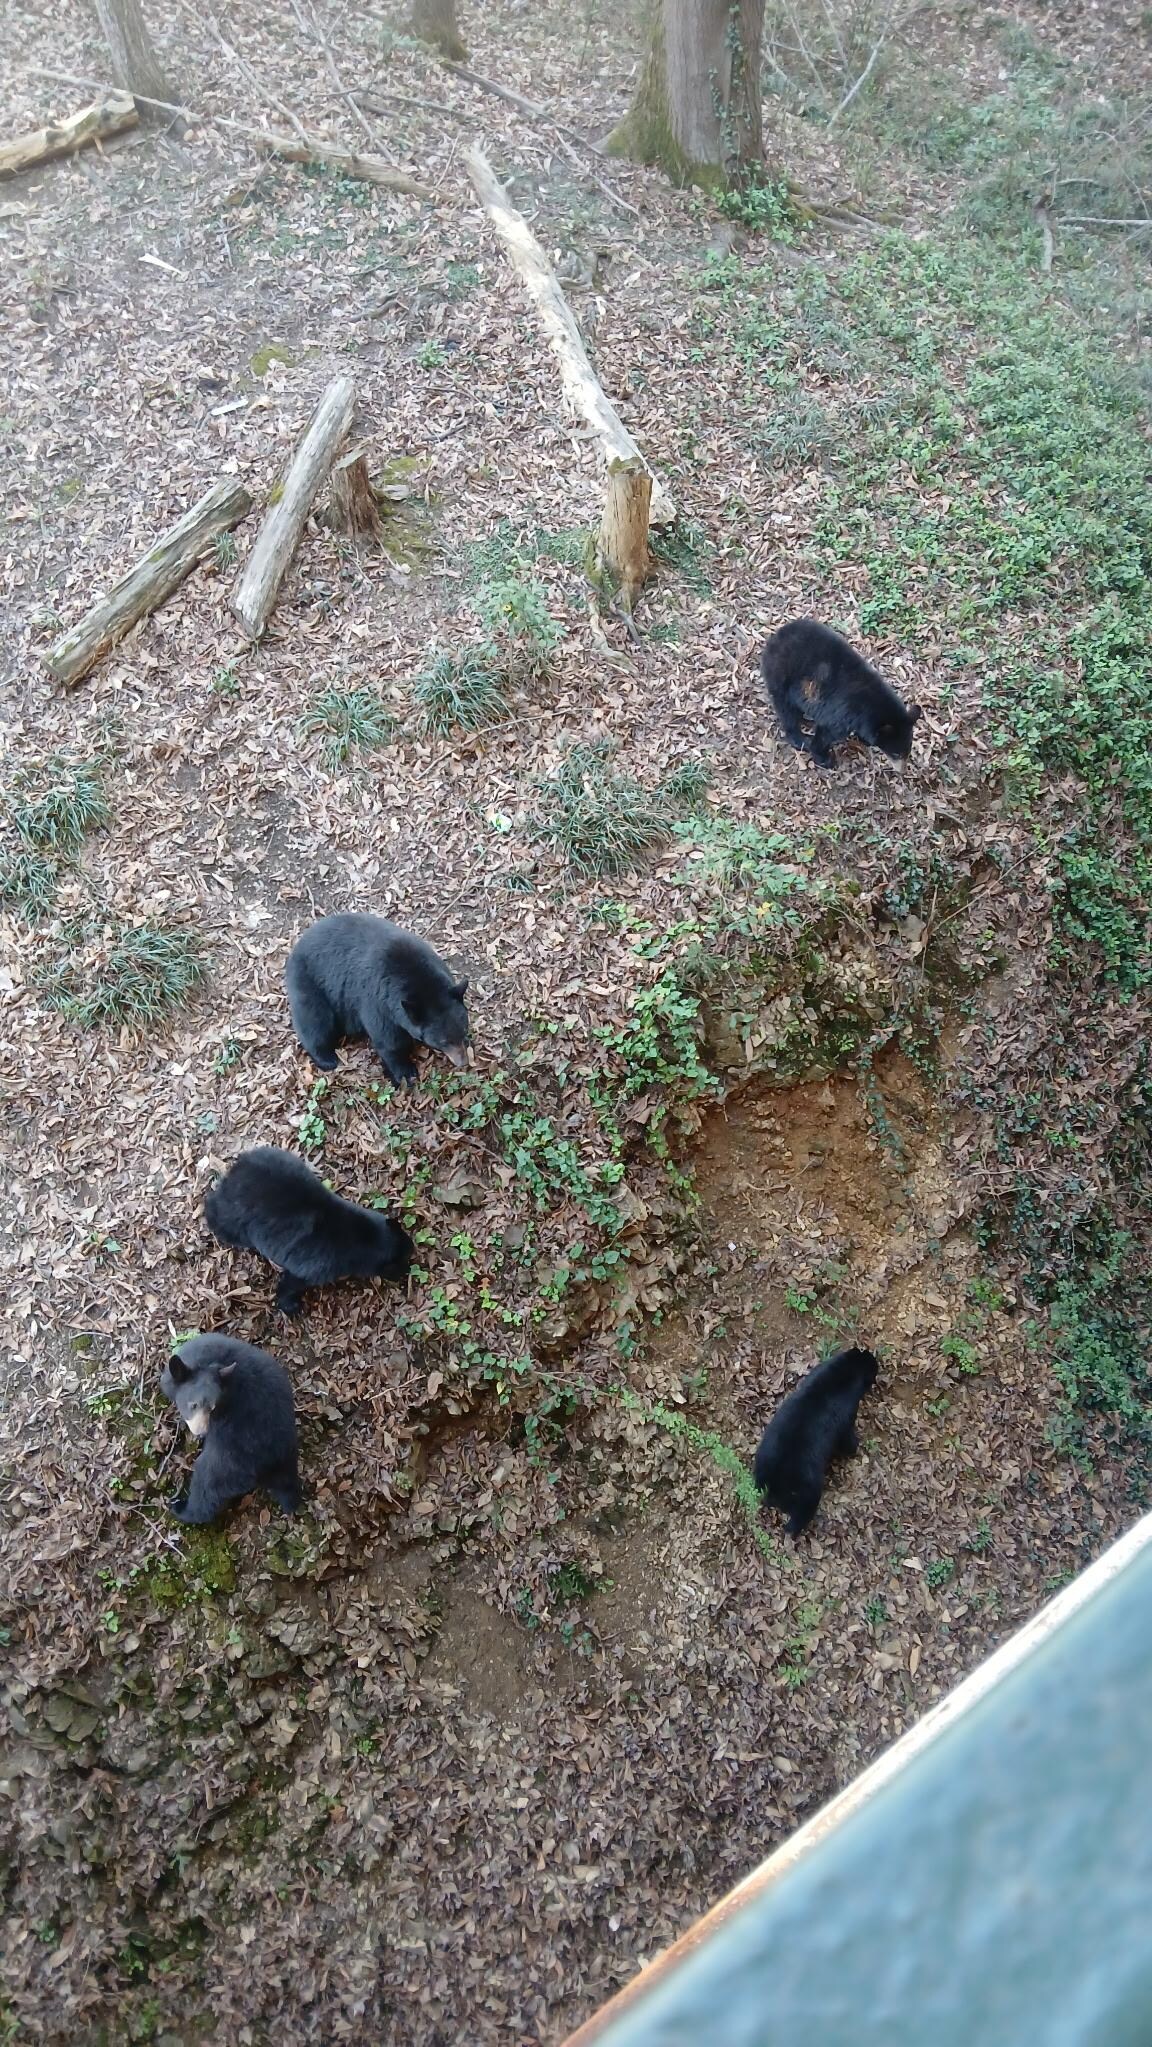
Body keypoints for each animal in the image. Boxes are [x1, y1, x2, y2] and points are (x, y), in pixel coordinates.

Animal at [160, 1333, 301, 1526]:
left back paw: (182, 1508)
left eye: (212, 1408)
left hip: (232, 1458)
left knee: (208, 1483)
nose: (202, 1432)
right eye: (193, 1404)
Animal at [204, 1145, 413, 1315]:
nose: (408, 1271)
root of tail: (236, 1170)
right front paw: (289, 1305)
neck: (362, 1237)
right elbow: (291, 1283)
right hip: (235, 1218)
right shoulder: (312, 1268)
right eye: (402, 1261)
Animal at [285, 913, 470, 1088]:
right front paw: (405, 1073)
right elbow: (389, 1041)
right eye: (443, 1042)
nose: (463, 1062)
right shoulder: (378, 1003)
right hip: (310, 981)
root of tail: (296, 948)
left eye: (464, 1030)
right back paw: (327, 1058)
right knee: (315, 1021)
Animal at [753, 1345, 879, 1537]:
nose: (878, 1365)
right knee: (806, 1507)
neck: (846, 1371)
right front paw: (855, 1446)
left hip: (763, 1459)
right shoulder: (847, 1411)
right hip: (805, 1485)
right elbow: (846, 1437)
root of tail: (774, 1484)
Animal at [759, 619, 922, 766]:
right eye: (896, 754)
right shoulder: (843, 712)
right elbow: (827, 733)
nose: (902, 770)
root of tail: (774, 638)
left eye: (908, 751)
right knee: (787, 711)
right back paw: (799, 739)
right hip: (782, 678)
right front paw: (825, 759)